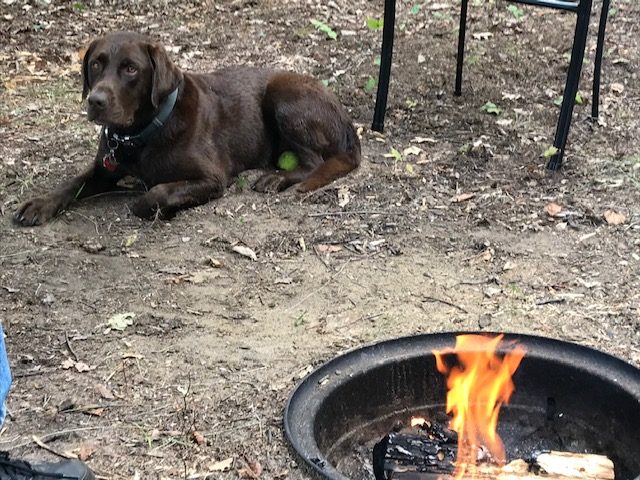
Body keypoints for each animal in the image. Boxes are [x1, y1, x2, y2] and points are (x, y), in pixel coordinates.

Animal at [13, 31, 360, 226]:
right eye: (96, 63)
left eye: (130, 69)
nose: (95, 100)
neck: (141, 135)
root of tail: (345, 117)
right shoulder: (104, 168)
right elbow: (72, 183)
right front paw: (39, 204)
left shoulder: (212, 178)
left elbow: (155, 192)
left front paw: (152, 206)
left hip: (282, 94)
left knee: (315, 162)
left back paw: (276, 178)